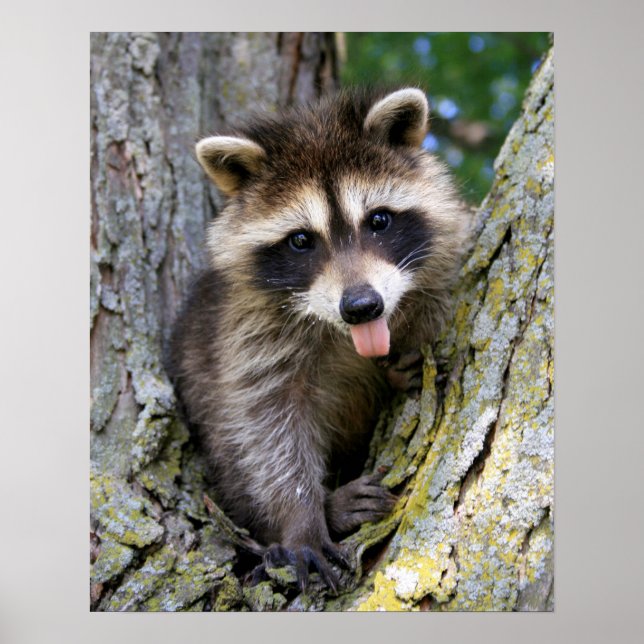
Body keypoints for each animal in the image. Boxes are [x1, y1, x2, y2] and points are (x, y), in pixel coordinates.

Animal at [167, 88, 469, 592]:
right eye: (301, 240)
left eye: (379, 220)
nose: (362, 306)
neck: (344, 332)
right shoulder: (246, 335)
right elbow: (266, 428)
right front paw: (301, 517)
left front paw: (400, 364)